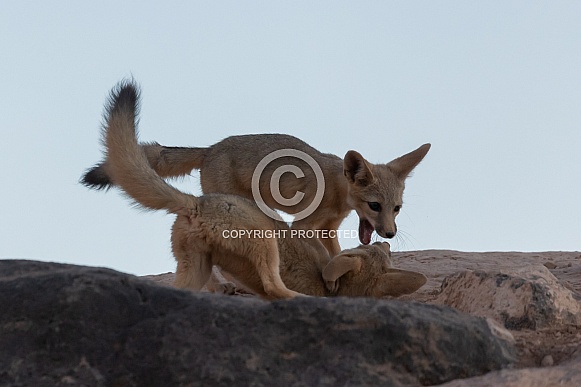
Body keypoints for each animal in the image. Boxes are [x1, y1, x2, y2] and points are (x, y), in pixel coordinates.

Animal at [84, 95, 428, 258]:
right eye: (374, 206)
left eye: (396, 208)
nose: (390, 234)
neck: (335, 189)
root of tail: (211, 148)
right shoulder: (303, 225)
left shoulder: (328, 229)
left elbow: (336, 253)